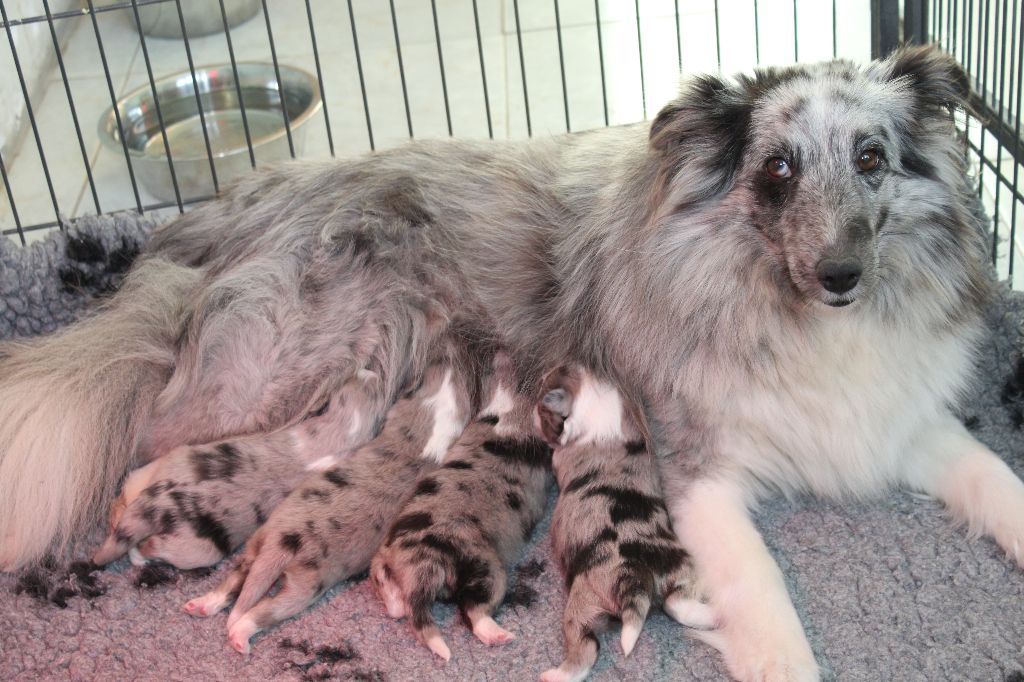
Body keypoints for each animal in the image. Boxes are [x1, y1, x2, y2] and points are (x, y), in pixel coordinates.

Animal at [89, 366, 380, 569]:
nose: (370, 371)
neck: (342, 429)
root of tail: (161, 504)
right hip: (195, 551)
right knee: (146, 544)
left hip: (168, 463)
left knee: (125, 501)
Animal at [185, 339, 483, 655]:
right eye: (431, 371)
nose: (447, 355)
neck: (429, 432)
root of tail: (284, 544)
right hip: (283, 563)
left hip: (281, 564)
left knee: (246, 595)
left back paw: (218, 616)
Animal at [370, 350, 552, 659]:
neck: (513, 402)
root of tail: (422, 565)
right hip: (487, 569)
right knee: (474, 611)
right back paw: (499, 635)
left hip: (384, 558)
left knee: (388, 589)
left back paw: (396, 603)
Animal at [536, 366, 712, 679]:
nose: (533, 411)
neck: (592, 397)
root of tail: (636, 579)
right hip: (680, 569)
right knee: (678, 603)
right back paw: (712, 617)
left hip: (584, 601)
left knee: (585, 647)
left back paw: (553, 675)